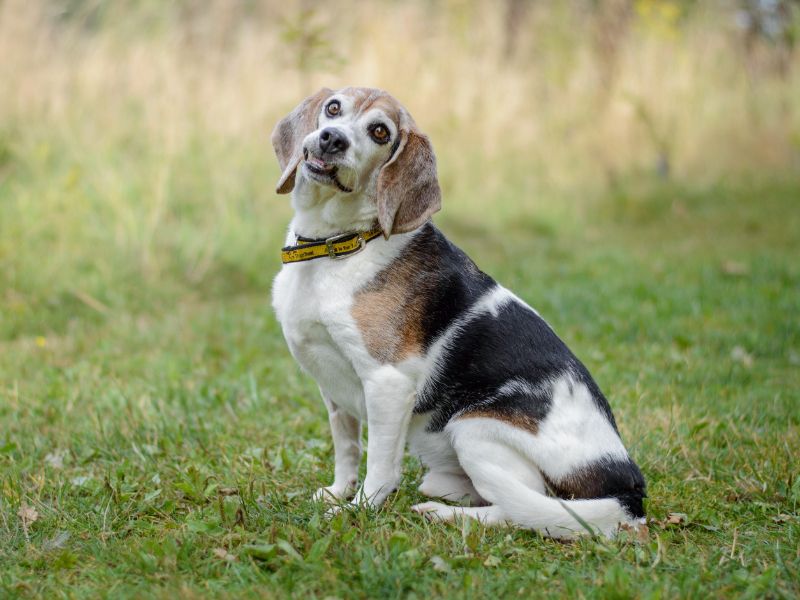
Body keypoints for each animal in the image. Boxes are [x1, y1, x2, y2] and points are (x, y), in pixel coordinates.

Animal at [272, 86, 648, 540]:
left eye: (380, 132)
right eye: (333, 108)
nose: (332, 139)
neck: (339, 245)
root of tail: (629, 493)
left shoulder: (387, 383)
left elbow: (379, 464)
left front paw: (358, 509)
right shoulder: (333, 389)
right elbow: (347, 450)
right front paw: (337, 493)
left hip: (472, 430)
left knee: (519, 511)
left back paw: (443, 513)